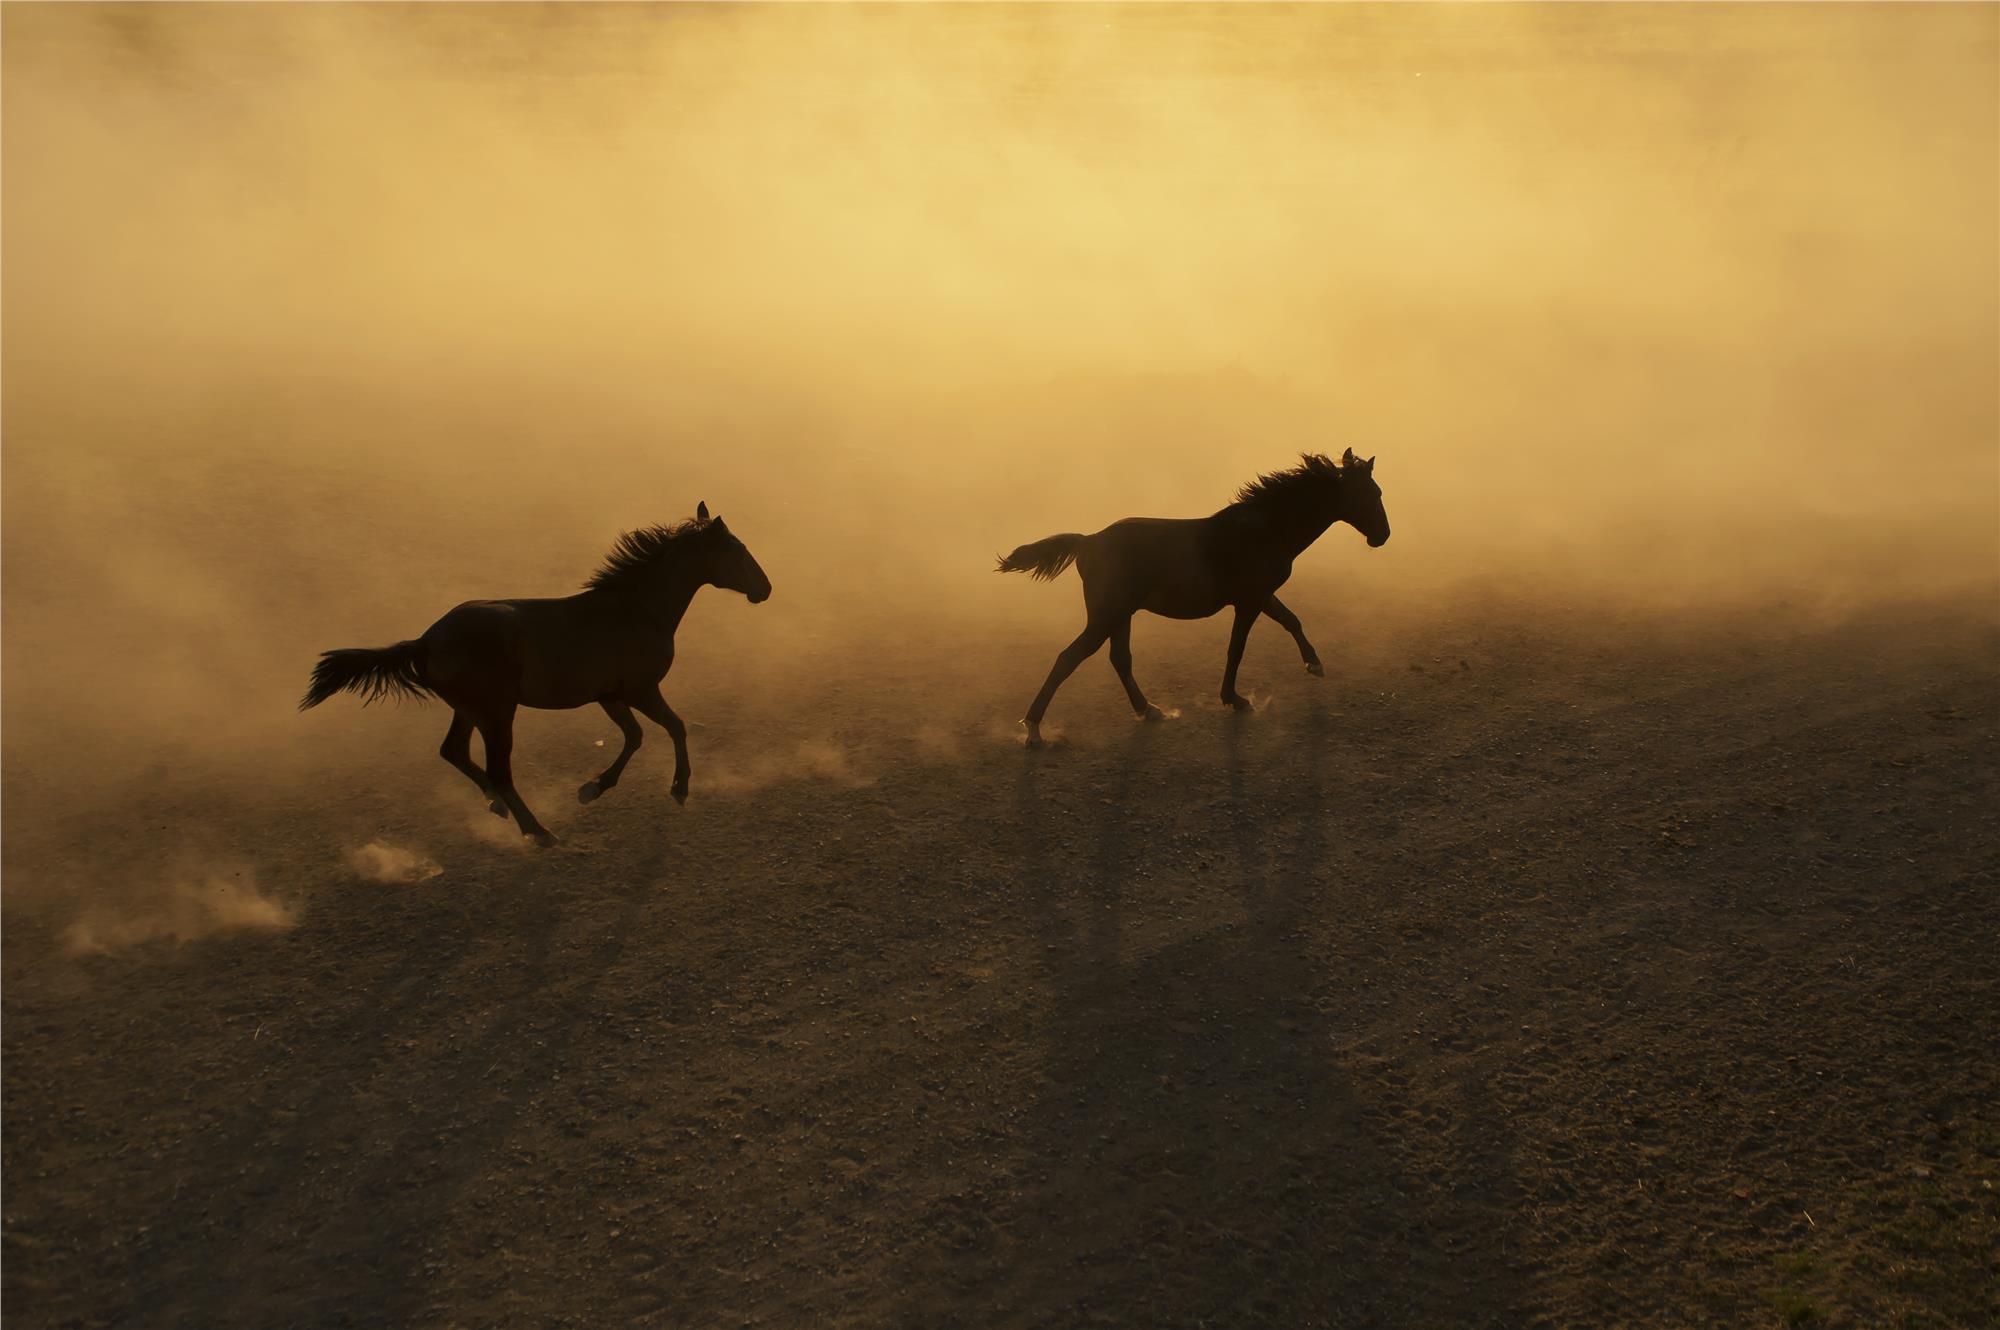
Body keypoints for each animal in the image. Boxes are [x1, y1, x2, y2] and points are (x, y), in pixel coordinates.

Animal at [300, 504, 768, 844]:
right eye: (738, 550)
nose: (765, 589)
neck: (635, 610)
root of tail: (428, 639)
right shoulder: (640, 689)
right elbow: (675, 726)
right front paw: (679, 787)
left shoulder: (610, 695)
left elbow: (635, 736)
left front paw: (593, 788)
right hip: (497, 715)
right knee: (498, 771)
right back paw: (538, 831)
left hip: (470, 710)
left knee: (455, 752)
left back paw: (498, 806)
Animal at [996, 448, 1392, 748]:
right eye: (1371, 495)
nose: (1383, 536)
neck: (1264, 530)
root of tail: (1088, 541)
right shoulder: (1249, 601)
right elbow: (1237, 648)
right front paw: (1235, 699)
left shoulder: (1261, 595)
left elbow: (1291, 620)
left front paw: (1314, 664)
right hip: (1107, 614)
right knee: (1069, 658)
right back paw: (1033, 730)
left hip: (1121, 614)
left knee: (1119, 659)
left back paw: (1149, 710)